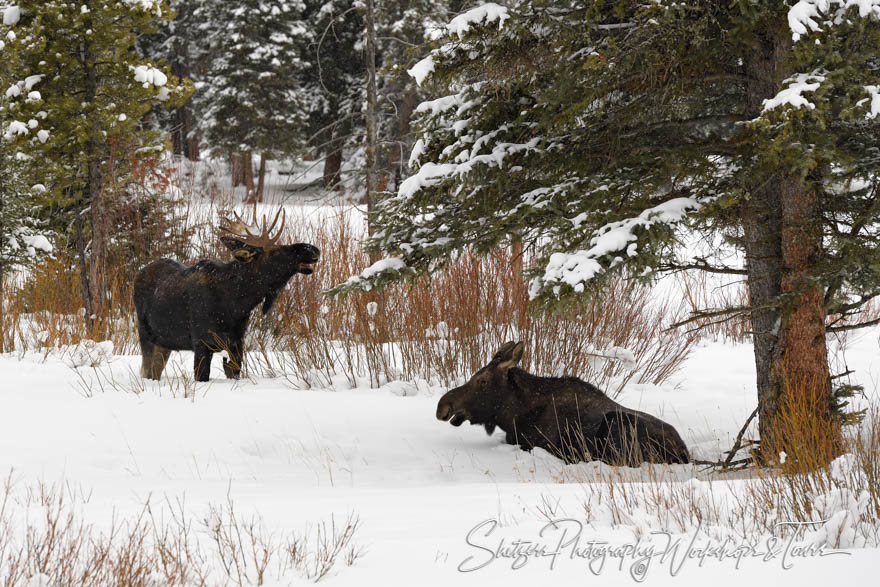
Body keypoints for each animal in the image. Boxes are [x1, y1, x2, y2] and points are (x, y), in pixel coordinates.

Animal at [134, 206, 320, 382]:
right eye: (276, 251)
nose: (313, 249)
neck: (237, 304)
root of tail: (139, 273)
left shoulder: (236, 343)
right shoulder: (202, 343)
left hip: (165, 342)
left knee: (155, 371)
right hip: (145, 333)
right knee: (146, 371)